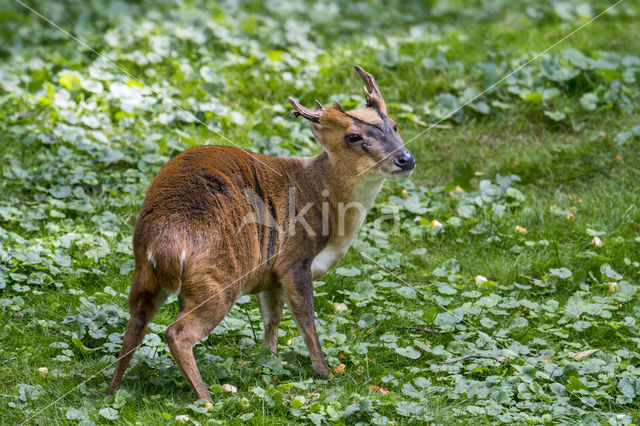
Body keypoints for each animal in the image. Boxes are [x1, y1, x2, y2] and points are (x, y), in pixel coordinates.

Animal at [106, 65, 416, 400]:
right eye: (353, 136)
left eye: (394, 125)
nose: (406, 159)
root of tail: (163, 246)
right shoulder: (293, 258)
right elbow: (306, 319)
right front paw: (327, 373)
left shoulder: (270, 274)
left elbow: (272, 320)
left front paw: (270, 367)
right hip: (218, 279)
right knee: (177, 333)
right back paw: (207, 399)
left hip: (145, 276)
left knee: (135, 322)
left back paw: (112, 390)